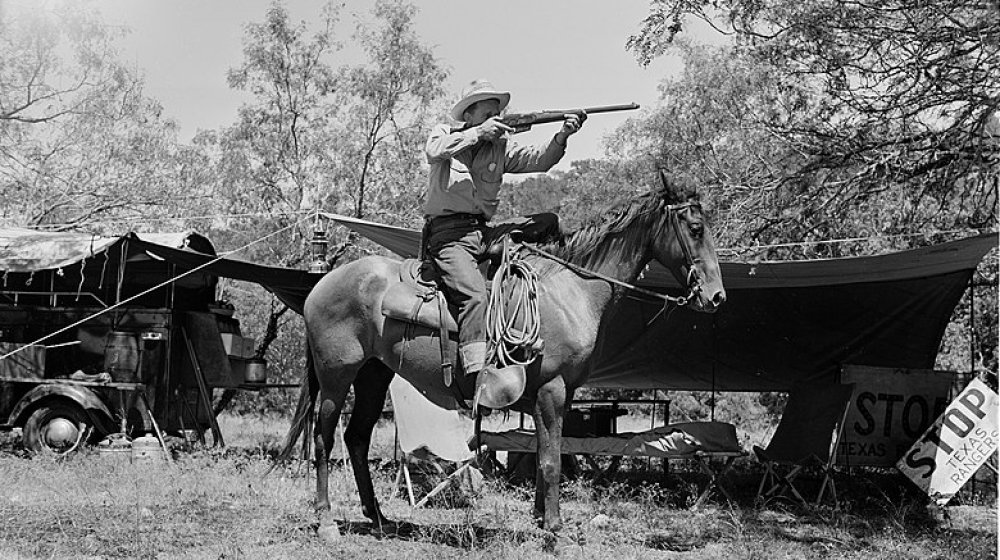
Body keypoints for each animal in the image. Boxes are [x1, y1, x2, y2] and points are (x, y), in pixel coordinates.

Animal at [278, 173, 724, 536]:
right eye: (696, 227)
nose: (716, 297)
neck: (569, 291)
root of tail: (322, 283)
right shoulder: (552, 391)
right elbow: (551, 460)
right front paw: (555, 530)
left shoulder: (561, 395)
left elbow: (547, 454)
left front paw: (542, 519)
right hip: (337, 374)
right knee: (323, 437)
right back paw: (326, 522)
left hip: (373, 374)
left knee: (356, 437)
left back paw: (380, 519)